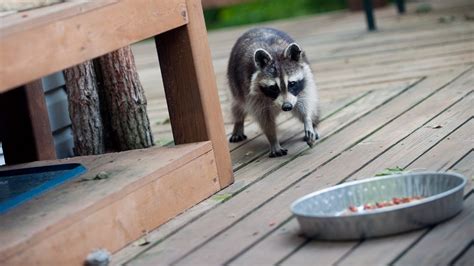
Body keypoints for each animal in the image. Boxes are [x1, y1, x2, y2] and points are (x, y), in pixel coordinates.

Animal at [228, 27, 320, 157]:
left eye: (292, 83)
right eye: (274, 87)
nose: (287, 107)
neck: (274, 53)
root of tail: (257, 27)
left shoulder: (304, 83)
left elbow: (304, 104)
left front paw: (308, 121)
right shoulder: (251, 93)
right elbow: (265, 119)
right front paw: (273, 139)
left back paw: (314, 124)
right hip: (235, 85)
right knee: (237, 106)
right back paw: (238, 123)